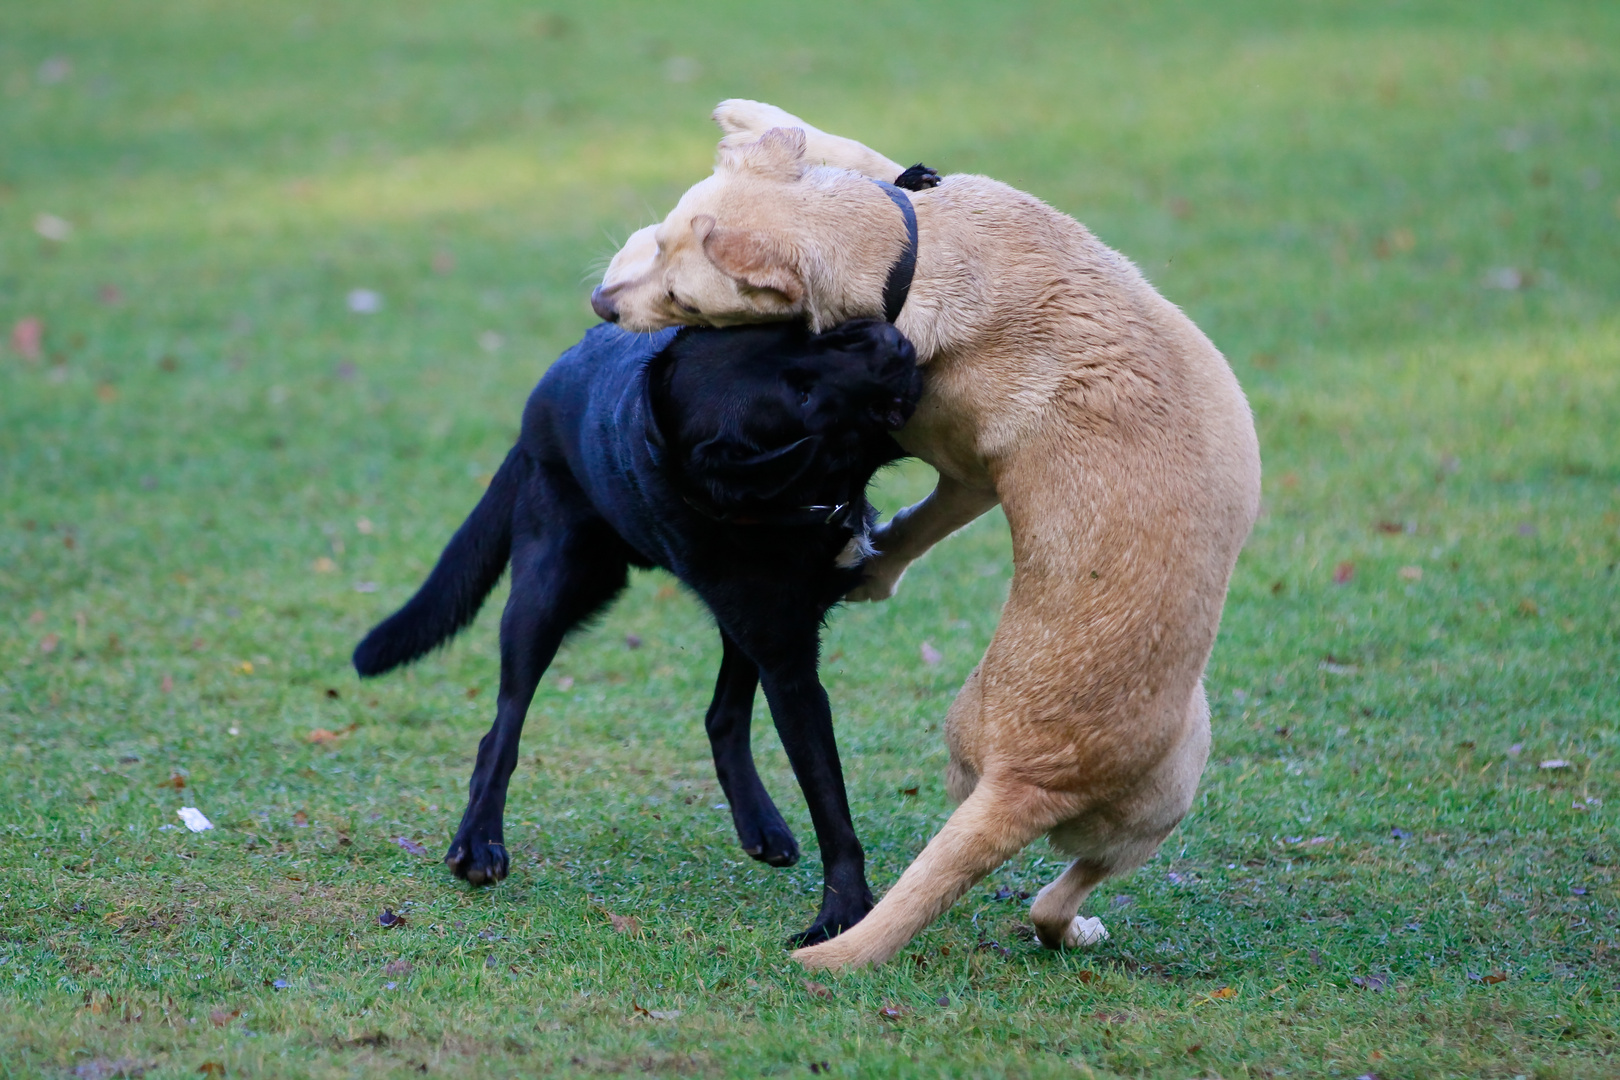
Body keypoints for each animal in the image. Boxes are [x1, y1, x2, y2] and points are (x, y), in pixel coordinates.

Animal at [353, 317, 920, 939]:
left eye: (795, 331)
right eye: (801, 397)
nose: (891, 340)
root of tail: (538, 404)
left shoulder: (774, 641)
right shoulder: (789, 666)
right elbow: (829, 805)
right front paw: (843, 916)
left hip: (729, 620)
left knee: (720, 717)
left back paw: (760, 825)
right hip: (548, 593)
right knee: (503, 725)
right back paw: (478, 840)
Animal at [596, 103, 1263, 971]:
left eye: (686, 297)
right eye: (660, 235)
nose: (603, 305)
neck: (906, 254)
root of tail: (1027, 783)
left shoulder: (964, 468)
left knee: (1057, 890)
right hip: (1157, 785)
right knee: (1060, 891)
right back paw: (1076, 925)